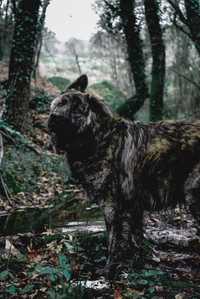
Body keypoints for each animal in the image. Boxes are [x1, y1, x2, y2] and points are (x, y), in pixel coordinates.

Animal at [48, 75, 200, 278]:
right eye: (58, 104)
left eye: (74, 109)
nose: (53, 119)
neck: (98, 137)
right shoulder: (134, 207)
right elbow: (136, 241)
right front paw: (137, 266)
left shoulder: (113, 206)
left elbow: (113, 243)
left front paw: (109, 271)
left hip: (192, 196)